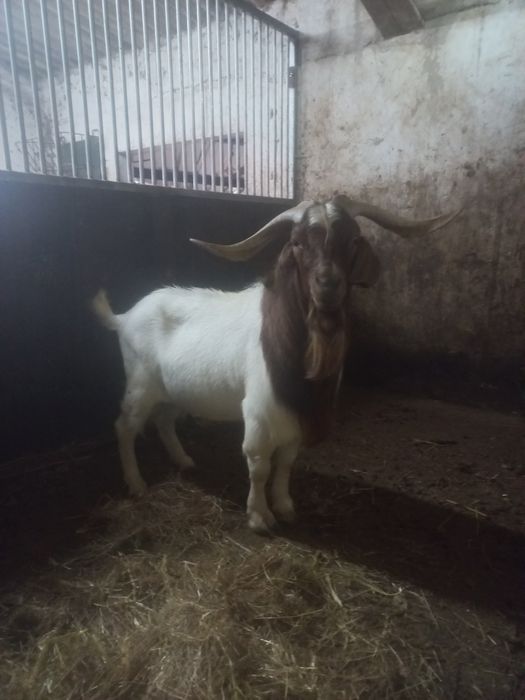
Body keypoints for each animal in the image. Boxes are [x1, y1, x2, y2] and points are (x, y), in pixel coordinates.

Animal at [92, 196, 458, 533]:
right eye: (297, 242)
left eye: (353, 240)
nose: (328, 285)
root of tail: (124, 317)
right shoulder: (259, 412)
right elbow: (259, 465)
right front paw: (258, 516)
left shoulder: (296, 416)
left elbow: (285, 464)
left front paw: (284, 506)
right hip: (140, 386)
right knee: (125, 427)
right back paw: (136, 484)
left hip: (174, 391)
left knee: (164, 421)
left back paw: (184, 461)